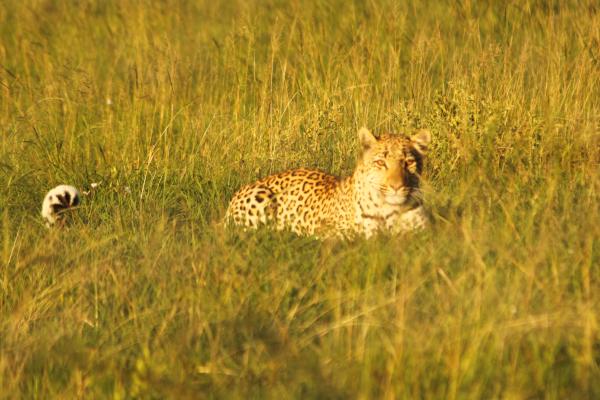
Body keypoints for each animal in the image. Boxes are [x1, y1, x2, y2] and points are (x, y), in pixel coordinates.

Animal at [225, 127, 432, 238]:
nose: (396, 186)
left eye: (408, 162)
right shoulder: (333, 233)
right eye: (381, 162)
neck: (392, 210)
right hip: (260, 197)